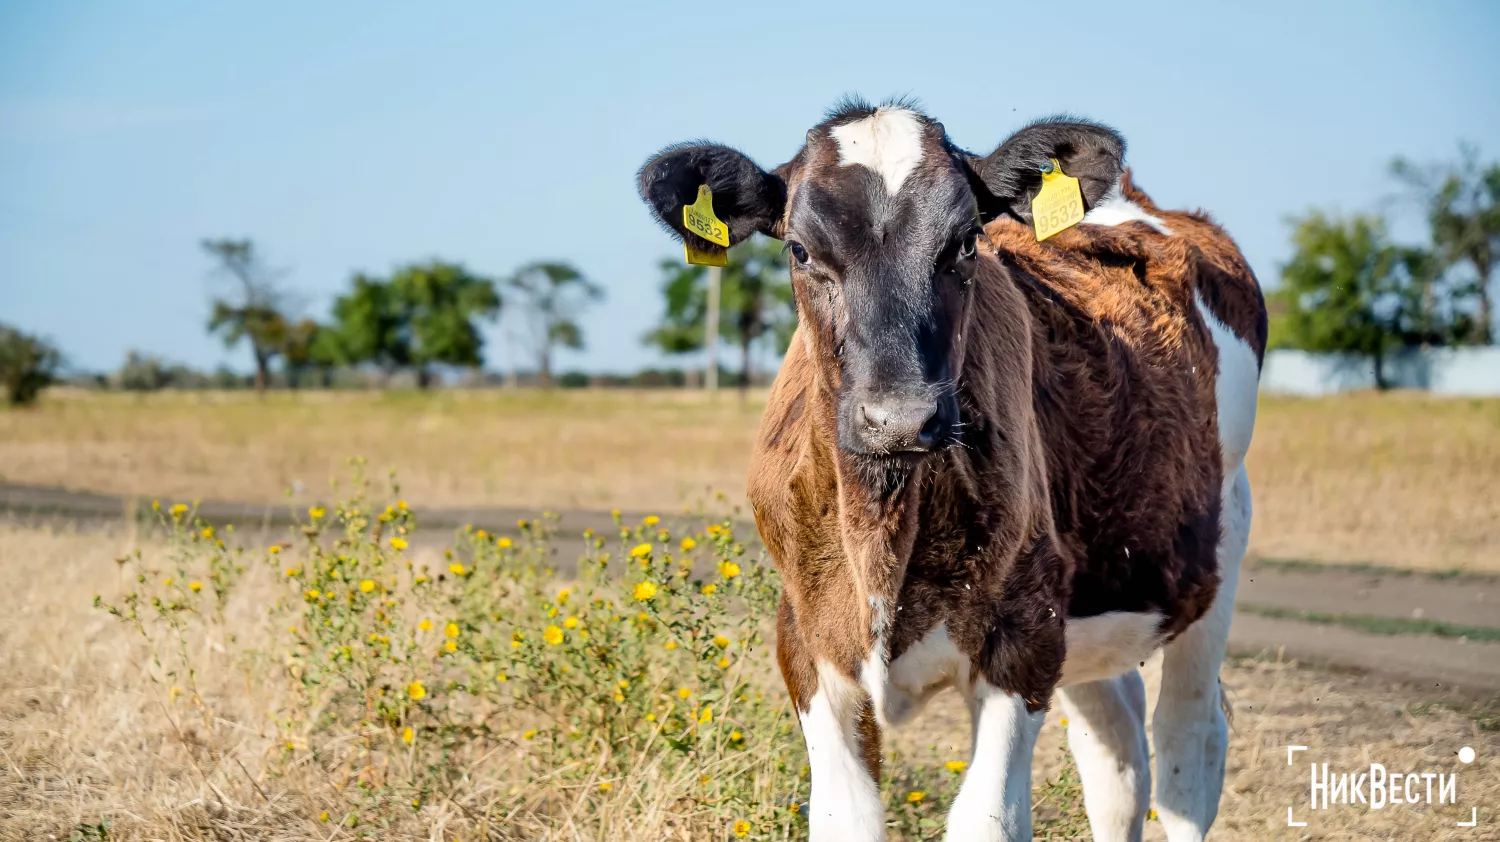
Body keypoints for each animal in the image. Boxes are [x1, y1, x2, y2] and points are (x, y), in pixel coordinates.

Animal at [639, 99, 1260, 840]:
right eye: (799, 250)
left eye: (966, 243)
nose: (900, 417)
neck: (884, 537)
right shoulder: (807, 645)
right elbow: (845, 817)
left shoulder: (1024, 641)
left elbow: (986, 818)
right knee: (1116, 755)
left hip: (1219, 550)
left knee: (1188, 747)